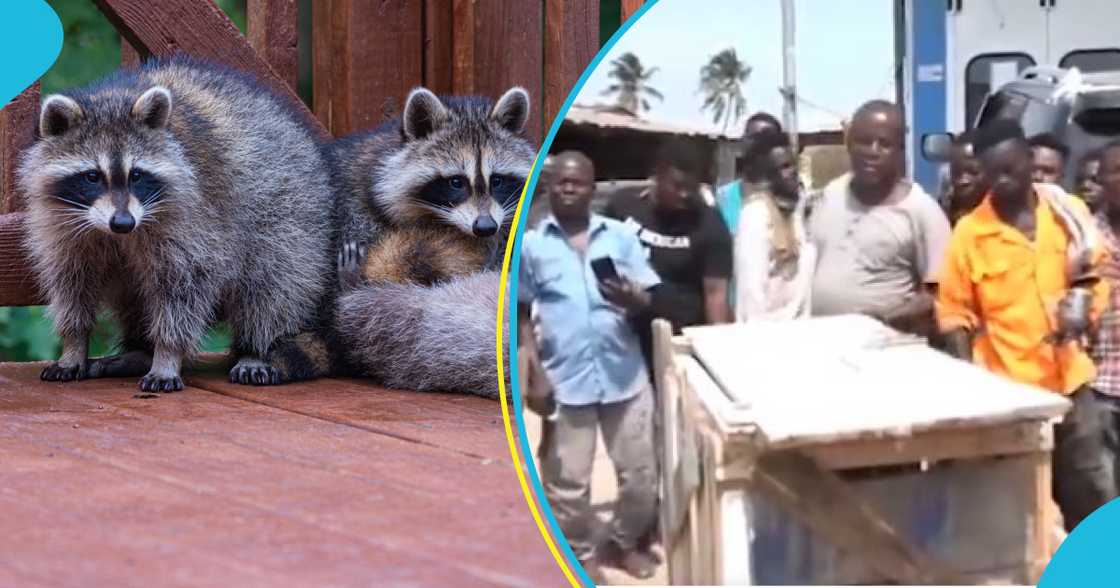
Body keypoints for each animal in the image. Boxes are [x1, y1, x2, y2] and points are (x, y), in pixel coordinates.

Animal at [18, 55, 335, 393]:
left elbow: (184, 287)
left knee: (271, 286)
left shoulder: (196, 218)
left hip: (289, 215)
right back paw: (139, 351)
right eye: (92, 176)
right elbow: (72, 283)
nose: (123, 222)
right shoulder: (62, 225)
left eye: (136, 175)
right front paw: (74, 343)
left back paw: (254, 348)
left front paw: (167, 354)